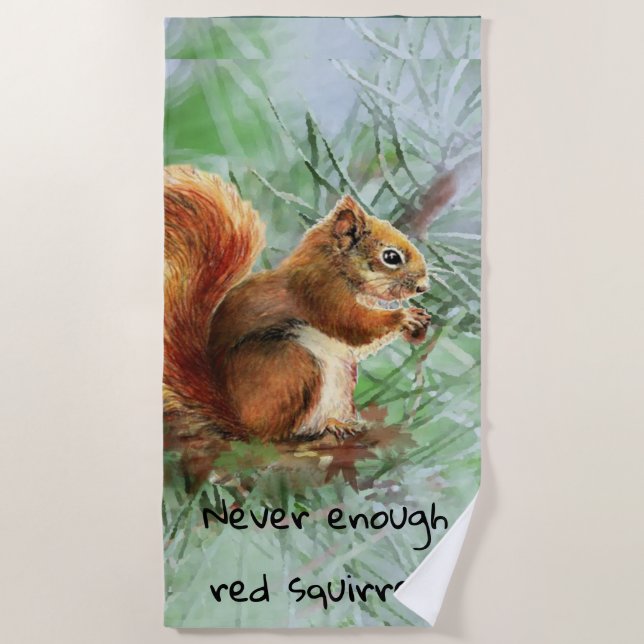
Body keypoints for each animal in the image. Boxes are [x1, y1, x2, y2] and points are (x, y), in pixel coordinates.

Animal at [164, 165, 431, 444]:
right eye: (391, 257)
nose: (423, 286)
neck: (335, 265)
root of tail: (238, 421)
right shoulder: (319, 292)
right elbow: (353, 324)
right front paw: (404, 316)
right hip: (291, 365)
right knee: (274, 433)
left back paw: (337, 424)